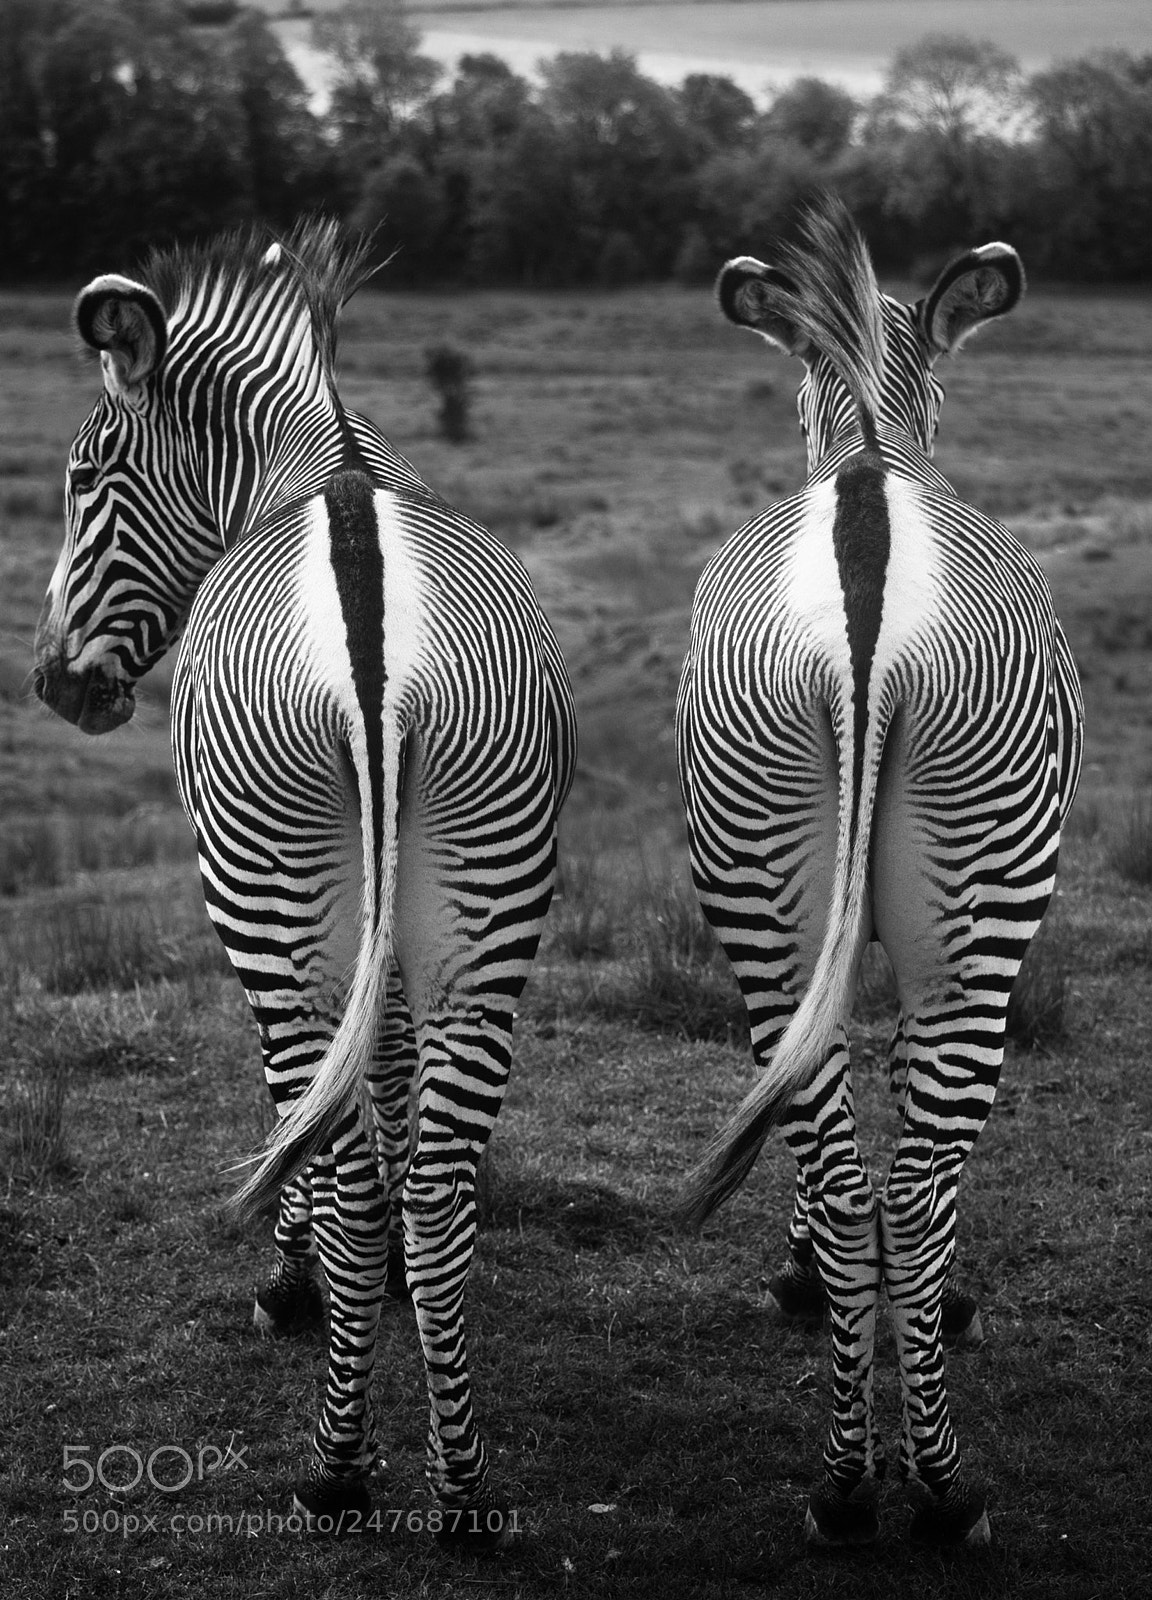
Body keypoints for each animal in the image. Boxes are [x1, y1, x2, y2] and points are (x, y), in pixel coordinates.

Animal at [33, 220, 576, 1539]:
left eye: (84, 477)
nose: (54, 687)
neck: (316, 455)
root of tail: (376, 656)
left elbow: (303, 1119)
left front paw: (296, 1274)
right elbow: (383, 1076)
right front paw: (385, 1296)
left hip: (267, 889)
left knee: (333, 1160)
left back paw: (334, 1462)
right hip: (486, 892)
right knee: (433, 1187)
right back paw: (459, 1481)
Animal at [677, 195, 1082, 1548]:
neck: (871, 442)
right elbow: (898, 1079)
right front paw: (935, 1304)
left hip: (763, 868)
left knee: (844, 1159)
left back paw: (851, 1479)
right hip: (982, 903)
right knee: (908, 1179)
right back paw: (937, 1487)